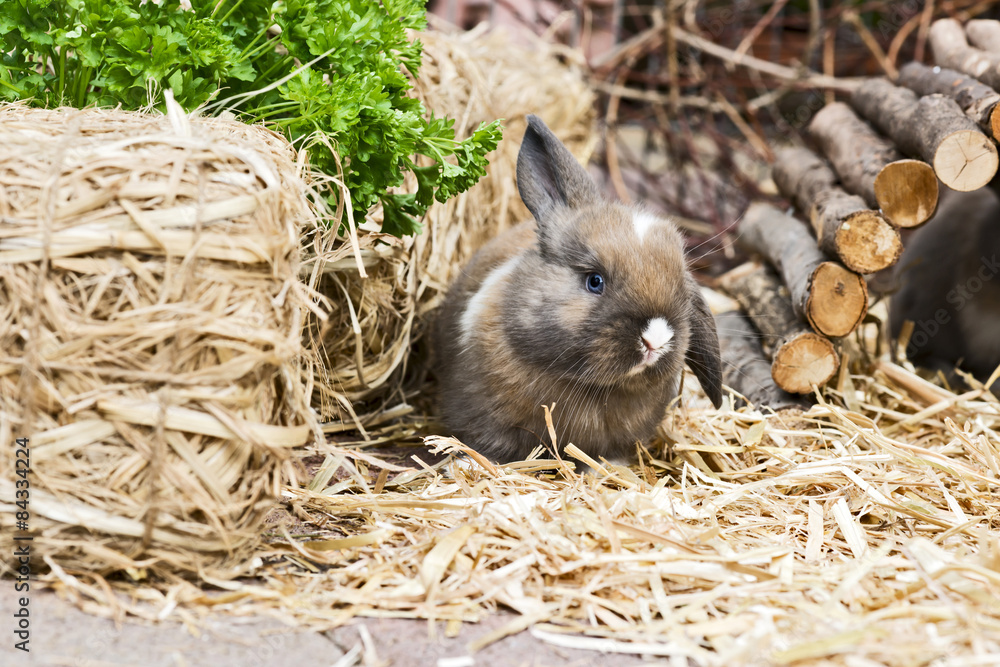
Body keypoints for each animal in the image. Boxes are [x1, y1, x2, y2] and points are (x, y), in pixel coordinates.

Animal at [432, 114, 723, 464]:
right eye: (594, 281)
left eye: (681, 289)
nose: (656, 339)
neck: (591, 387)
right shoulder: (486, 421)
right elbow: (489, 449)